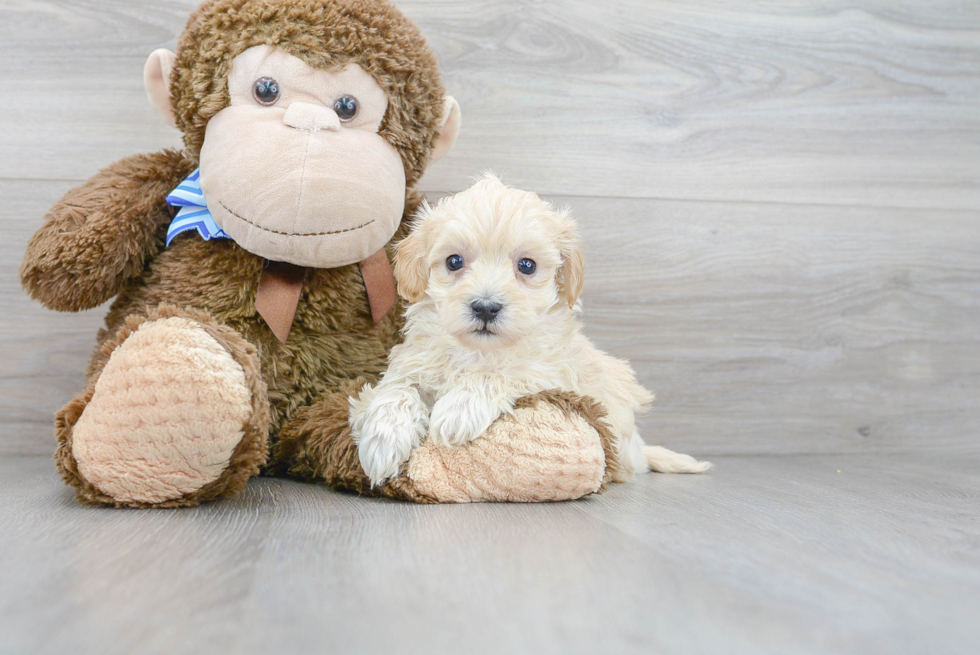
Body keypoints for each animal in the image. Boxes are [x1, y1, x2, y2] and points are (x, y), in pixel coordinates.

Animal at [352, 174, 712, 486]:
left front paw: (458, 409)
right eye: (454, 262)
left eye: (527, 266)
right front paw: (383, 442)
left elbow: (501, 373)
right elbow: (397, 391)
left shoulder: (550, 371)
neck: (480, 351)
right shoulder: (412, 363)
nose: (485, 307)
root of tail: (638, 451)